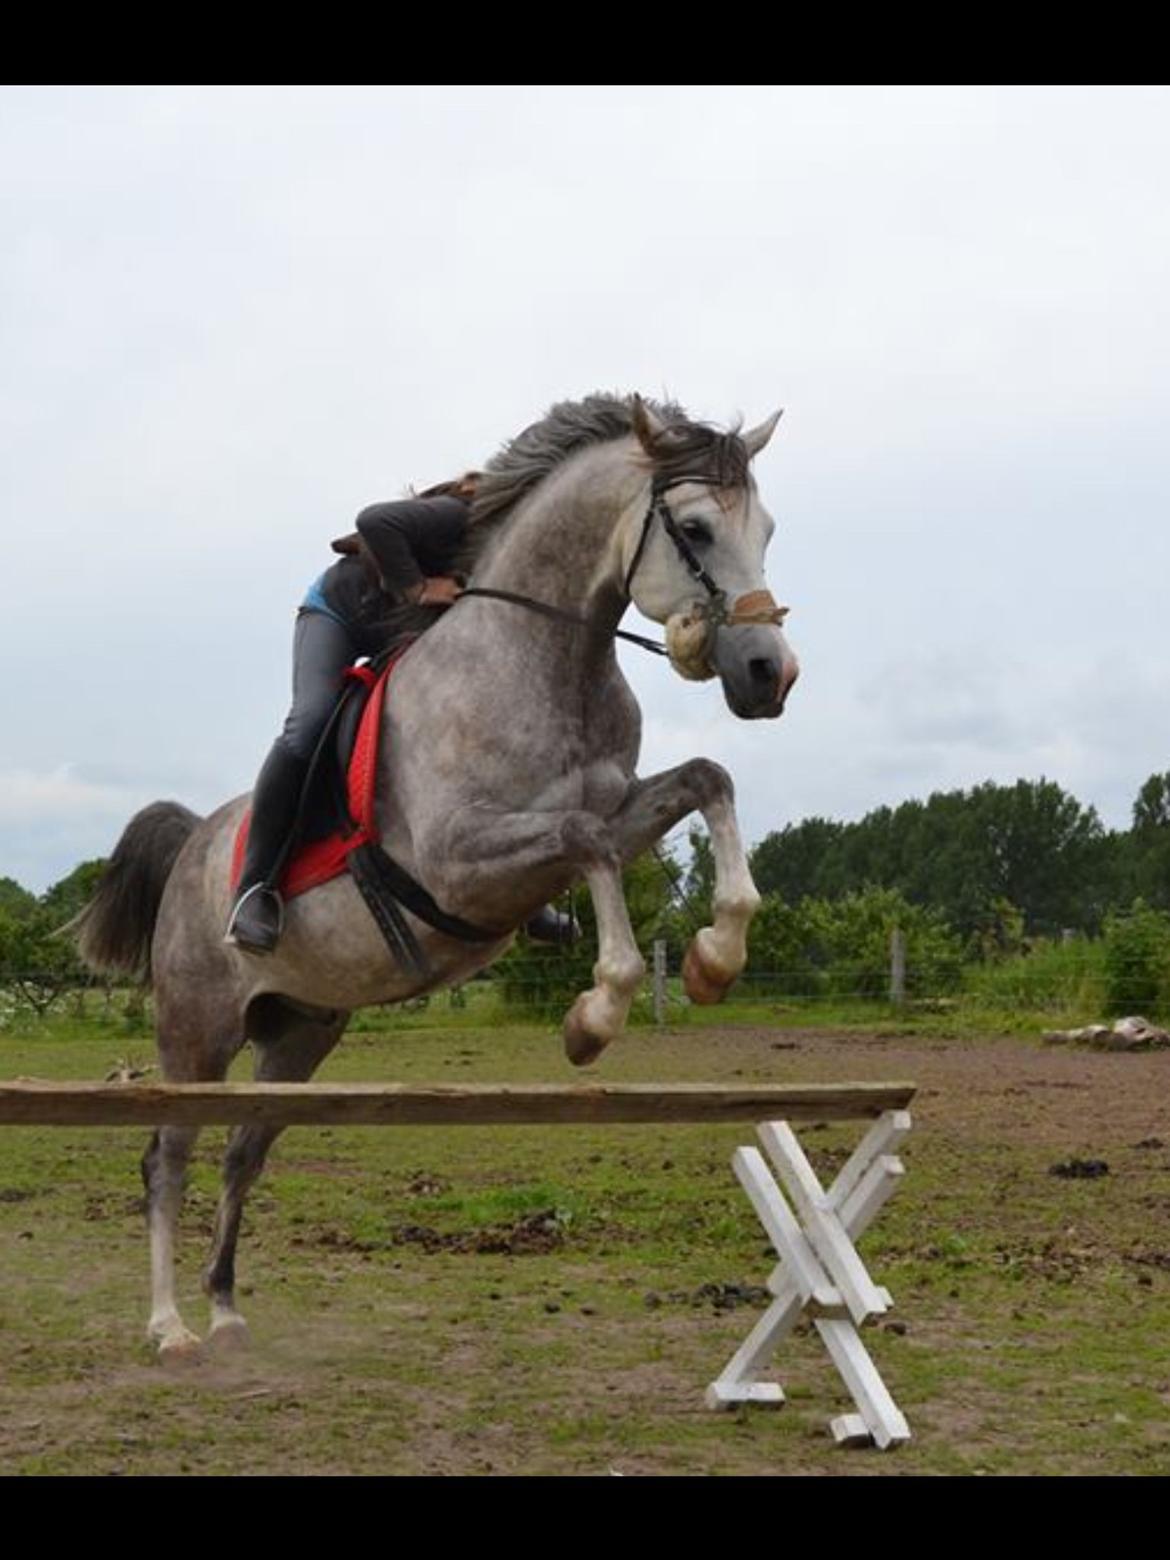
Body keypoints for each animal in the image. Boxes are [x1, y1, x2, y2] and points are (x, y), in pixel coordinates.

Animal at [73, 390, 804, 1354]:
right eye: (692, 528)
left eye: (767, 527)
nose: (769, 673)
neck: (549, 657)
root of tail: (196, 843)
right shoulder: (461, 862)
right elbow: (588, 840)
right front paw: (596, 1013)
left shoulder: (614, 807)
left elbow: (704, 783)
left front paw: (715, 958)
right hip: (195, 1032)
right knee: (169, 1155)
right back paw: (169, 1327)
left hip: (299, 1034)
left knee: (241, 1153)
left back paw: (225, 1308)